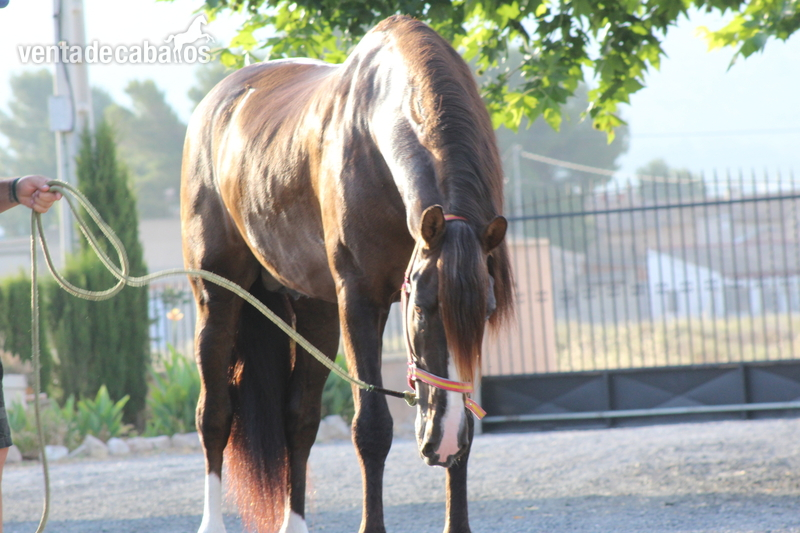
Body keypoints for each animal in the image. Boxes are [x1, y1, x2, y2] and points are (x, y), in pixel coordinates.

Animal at [181, 15, 513, 533]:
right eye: (422, 307)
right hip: (217, 299)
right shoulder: (360, 302)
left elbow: (468, 427)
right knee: (214, 415)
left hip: (315, 313)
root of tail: (214, 105)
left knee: (298, 420)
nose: (442, 440)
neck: (374, 139)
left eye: (487, 312)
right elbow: (371, 428)